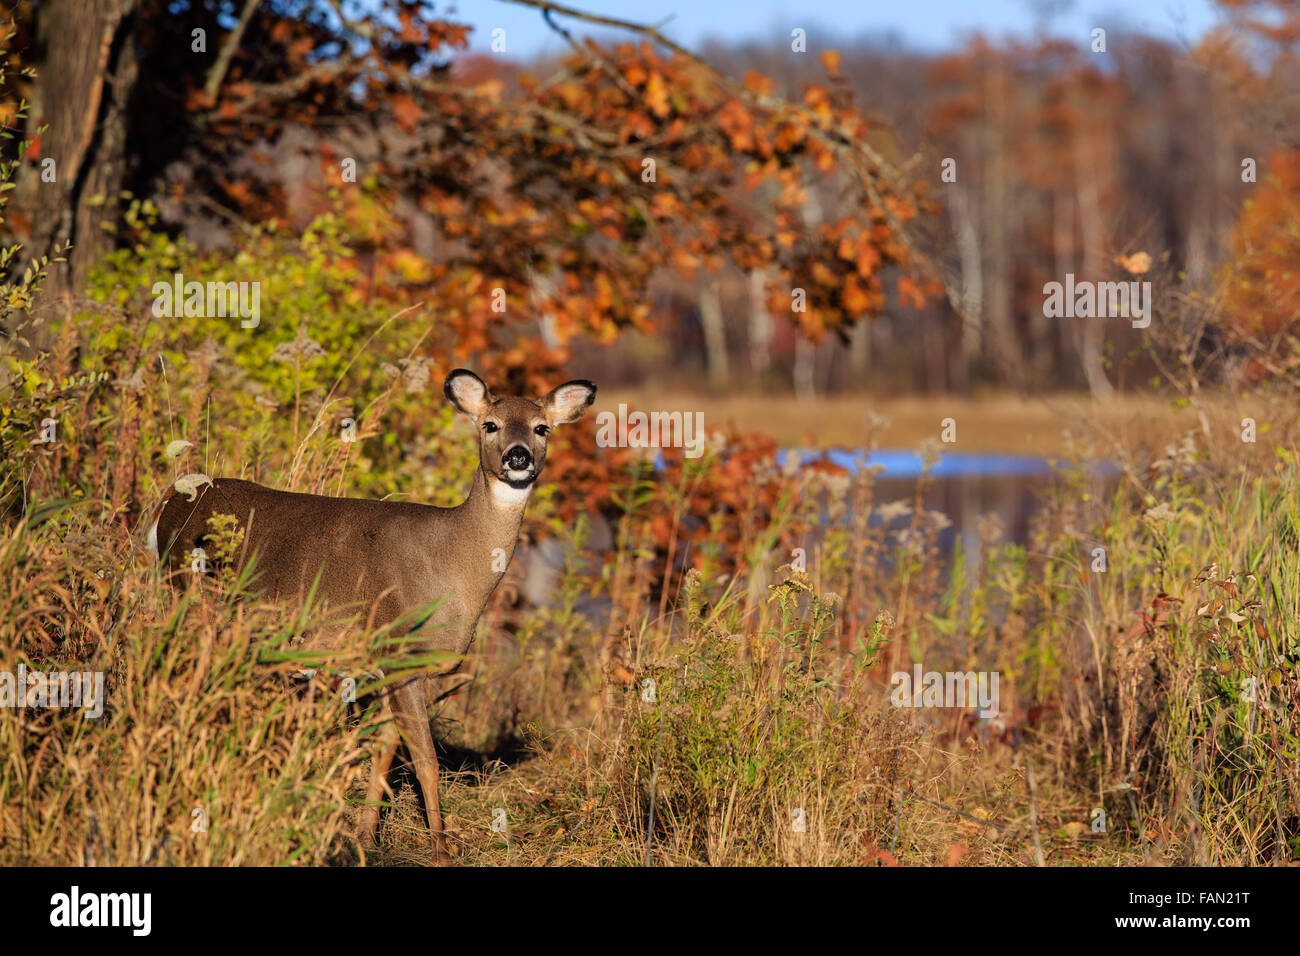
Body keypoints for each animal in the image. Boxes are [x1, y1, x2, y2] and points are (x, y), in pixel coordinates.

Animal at [144, 369, 600, 863]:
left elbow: (382, 750)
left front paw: (365, 839)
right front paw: (441, 851)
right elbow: (424, 760)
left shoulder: (387, 665)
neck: (454, 567)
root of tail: (170, 502)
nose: (519, 456)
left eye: (542, 428)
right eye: (490, 424)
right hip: (191, 594)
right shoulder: (401, 650)